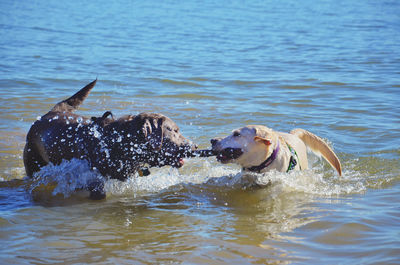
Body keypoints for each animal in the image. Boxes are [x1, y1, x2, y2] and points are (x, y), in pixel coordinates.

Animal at [22, 80, 198, 198]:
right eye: (175, 130)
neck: (121, 141)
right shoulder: (94, 180)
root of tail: (49, 113)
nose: (195, 146)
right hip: (33, 163)